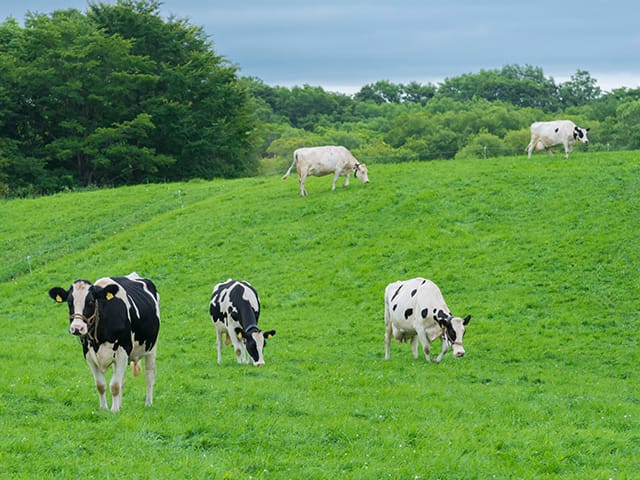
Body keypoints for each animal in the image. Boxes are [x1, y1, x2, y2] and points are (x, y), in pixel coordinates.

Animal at [47, 272, 160, 410]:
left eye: (90, 301)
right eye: (69, 301)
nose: (77, 328)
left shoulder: (123, 351)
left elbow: (114, 385)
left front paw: (114, 410)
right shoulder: (88, 354)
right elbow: (100, 385)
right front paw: (104, 409)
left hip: (152, 346)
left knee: (149, 375)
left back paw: (148, 403)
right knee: (122, 380)